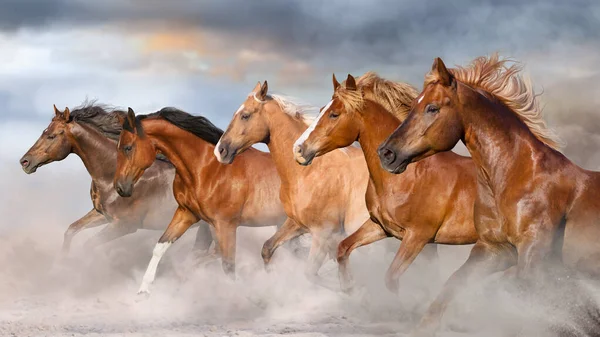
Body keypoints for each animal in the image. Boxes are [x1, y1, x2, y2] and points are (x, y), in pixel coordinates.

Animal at [19, 103, 216, 255]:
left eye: (51, 136)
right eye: (44, 131)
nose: (25, 162)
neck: (110, 176)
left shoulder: (124, 225)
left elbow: (88, 245)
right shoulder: (102, 215)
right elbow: (71, 230)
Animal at [114, 106, 290, 292]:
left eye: (127, 147)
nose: (120, 187)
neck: (206, 169)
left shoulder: (226, 225)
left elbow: (227, 265)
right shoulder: (187, 213)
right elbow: (161, 246)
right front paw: (144, 291)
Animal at [213, 82, 368, 284]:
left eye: (245, 115)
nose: (220, 150)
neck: (310, 172)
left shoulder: (324, 233)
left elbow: (312, 274)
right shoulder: (297, 223)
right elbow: (267, 248)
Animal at [292, 72, 478, 292]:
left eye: (334, 114)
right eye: (322, 110)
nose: (298, 149)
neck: (408, 177)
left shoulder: (418, 237)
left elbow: (393, 278)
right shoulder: (381, 227)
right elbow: (343, 248)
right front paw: (348, 287)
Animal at [380, 53, 600, 334]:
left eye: (432, 108)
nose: (386, 153)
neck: (517, 178)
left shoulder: (534, 256)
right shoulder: (494, 249)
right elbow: (452, 285)